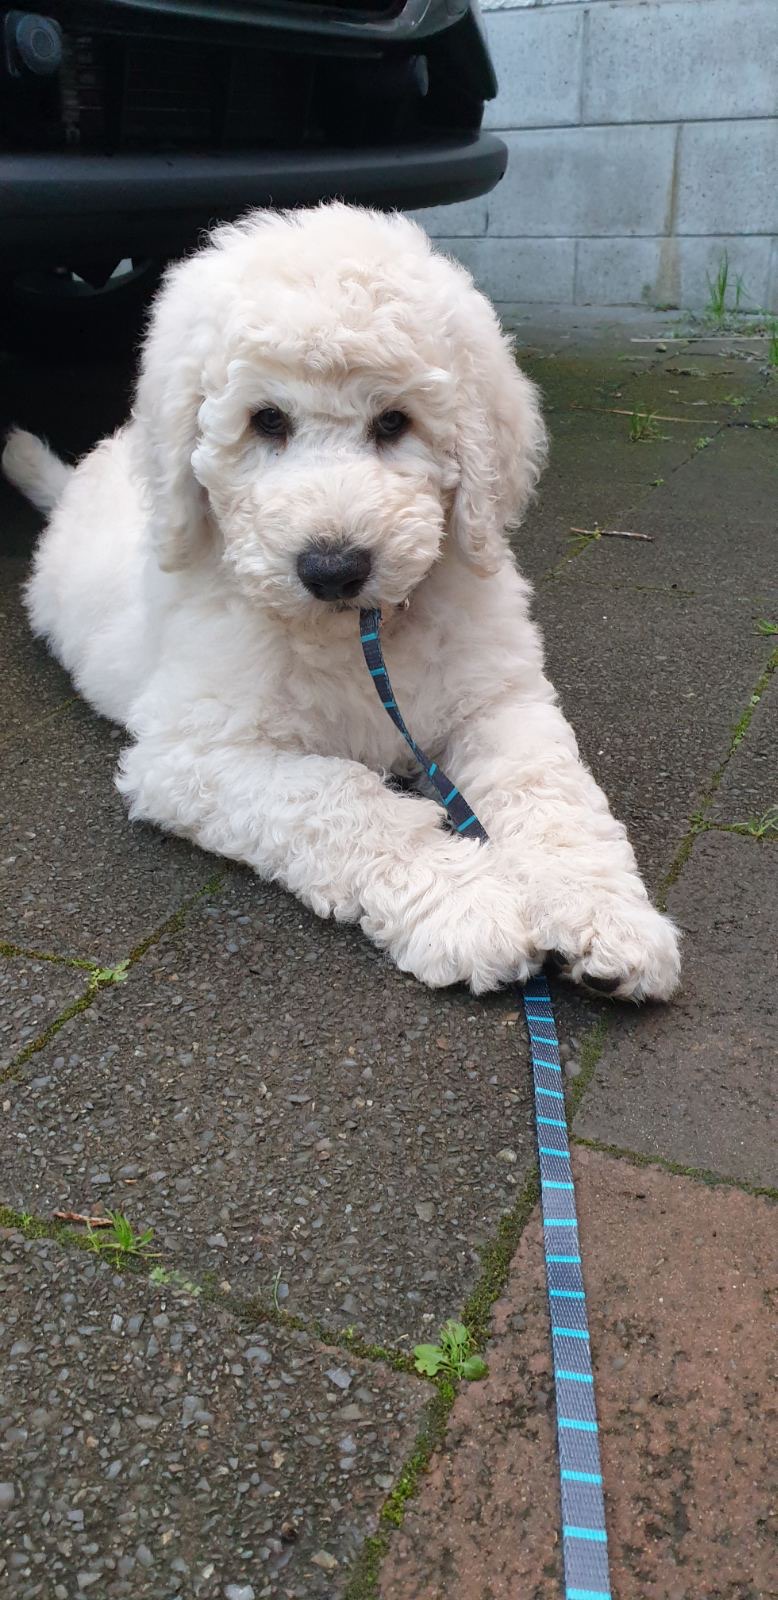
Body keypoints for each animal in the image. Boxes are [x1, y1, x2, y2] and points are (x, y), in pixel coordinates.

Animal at [3, 201, 678, 998]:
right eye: (266, 419)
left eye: (394, 422)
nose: (332, 568)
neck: (359, 630)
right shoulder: (193, 754)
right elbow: (343, 801)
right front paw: (471, 908)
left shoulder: (499, 700)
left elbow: (549, 791)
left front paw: (603, 915)